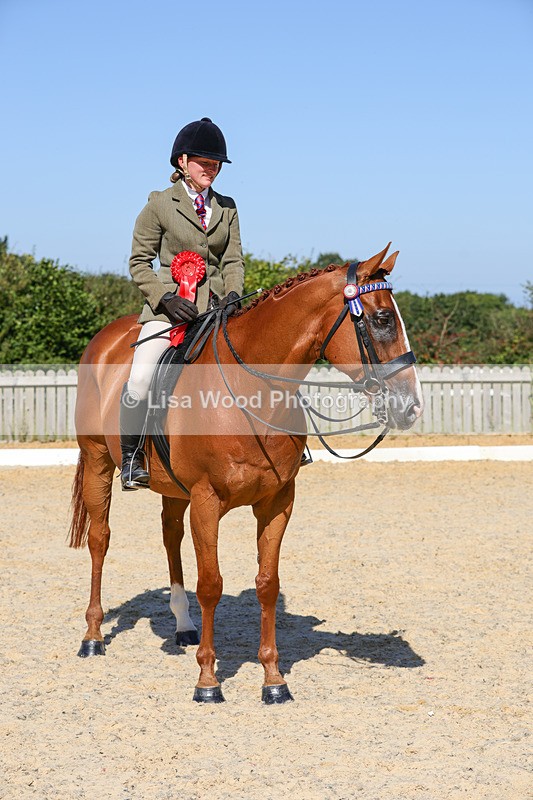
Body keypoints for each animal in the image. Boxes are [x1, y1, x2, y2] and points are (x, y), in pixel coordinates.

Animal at [69, 243, 423, 703]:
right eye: (382, 319)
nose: (411, 406)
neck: (250, 391)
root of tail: (106, 336)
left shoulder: (277, 502)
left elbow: (267, 583)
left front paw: (274, 680)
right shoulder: (206, 501)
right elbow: (211, 584)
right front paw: (207, 681)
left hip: (173, 489)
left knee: (170, 536)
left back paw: (183, 626)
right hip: (97, 459)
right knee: (100, 539)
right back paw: (93, 636)